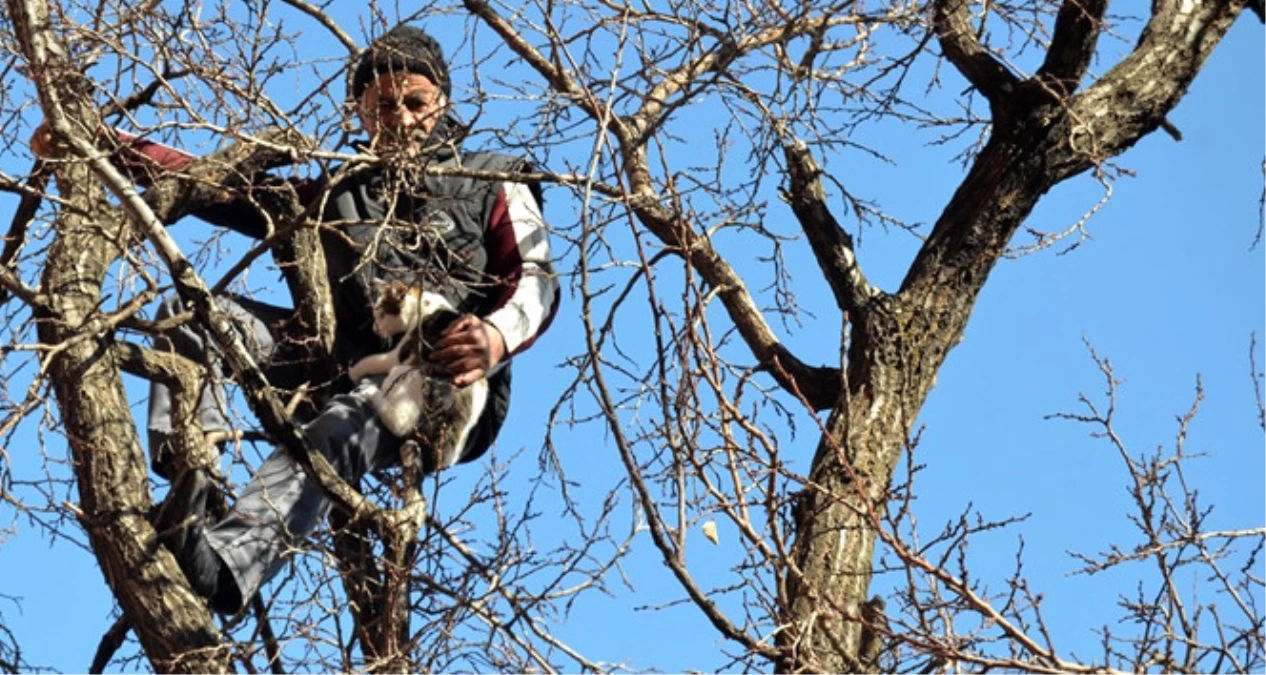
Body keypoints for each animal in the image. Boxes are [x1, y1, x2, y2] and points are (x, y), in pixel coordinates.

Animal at [349, 277, 486, 468]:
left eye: (381, 313)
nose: (375, 329)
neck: (423, 305)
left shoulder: (399, 354)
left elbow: (372, 361)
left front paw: (352, 371)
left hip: (408, 373)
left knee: (400, 424)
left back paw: (371, 392)